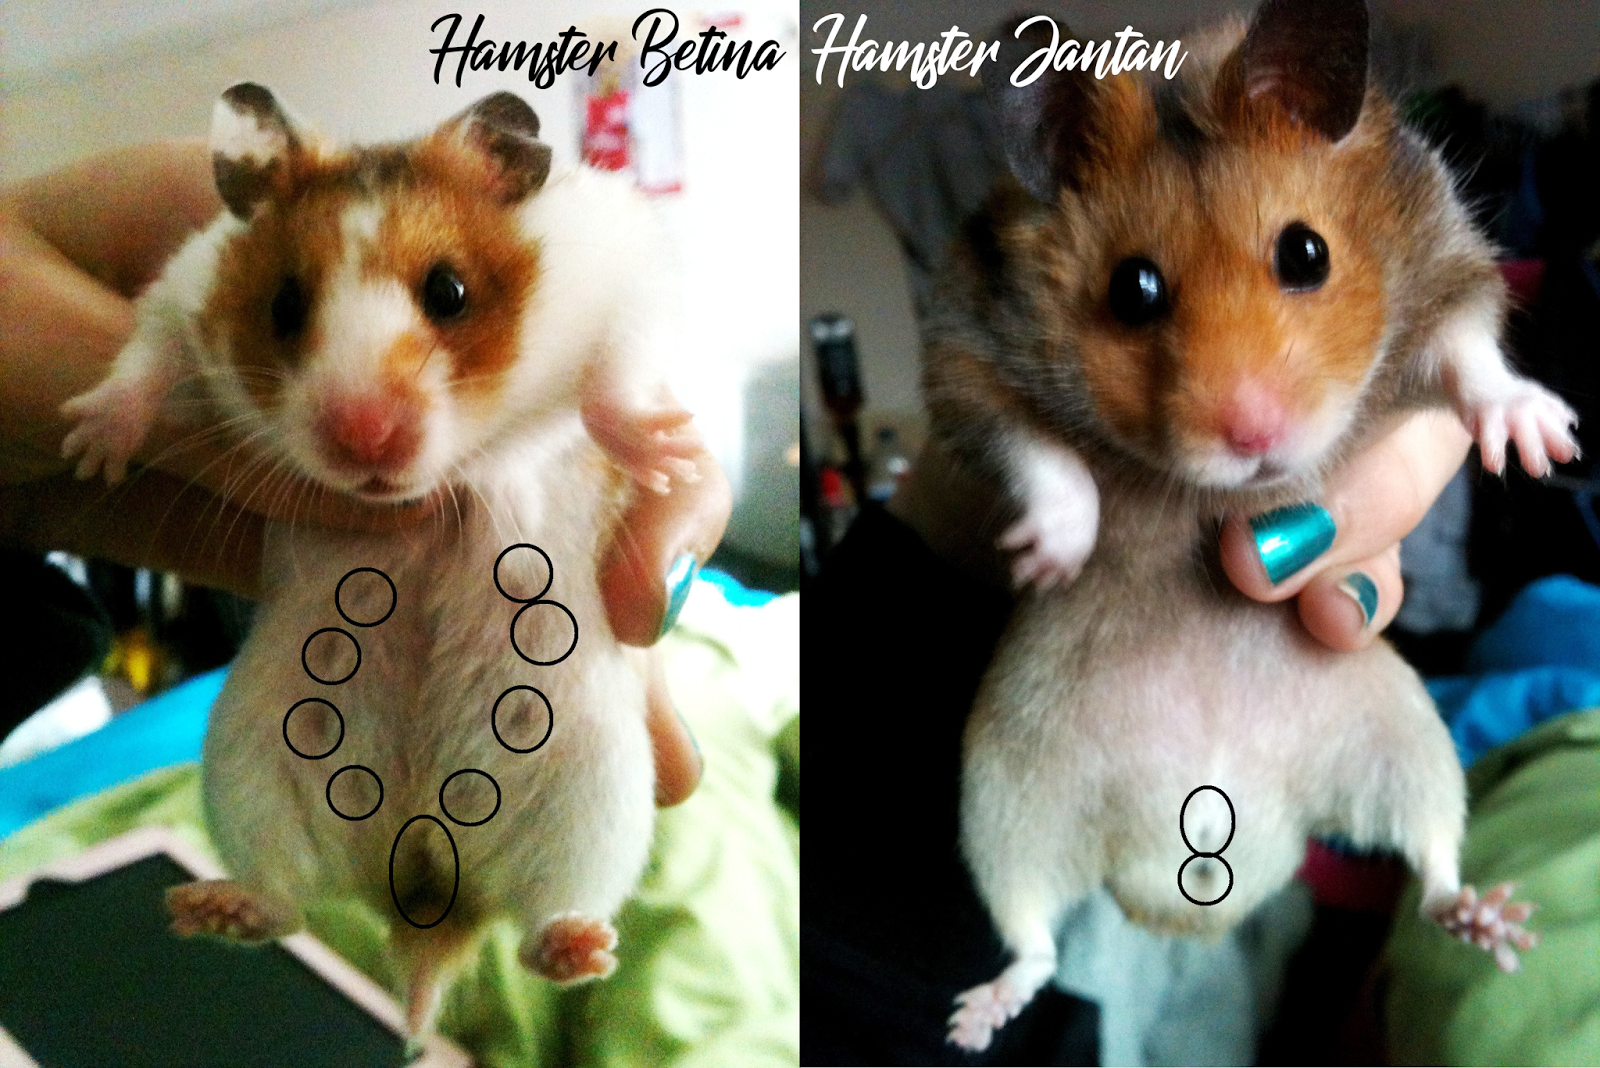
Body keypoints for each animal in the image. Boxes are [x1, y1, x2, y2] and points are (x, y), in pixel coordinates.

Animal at [60, 84, 700, 1036]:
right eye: (285, 306)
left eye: (449, 290)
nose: (363, 439)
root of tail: (424, 895)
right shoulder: (181, 290)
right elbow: (144, 363)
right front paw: (89, 449)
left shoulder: (626, 266)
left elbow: (616, 378)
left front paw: (666, 453)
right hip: (251, 763)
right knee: (288, 901)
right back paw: (213, 907)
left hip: (597, 788)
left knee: (540, 923)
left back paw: (578, 946)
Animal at [923, 0, 1578, 1051]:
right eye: (1133, 288)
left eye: (1306, 254)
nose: (1254, 437)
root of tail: (1185, 901)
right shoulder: (965, 353)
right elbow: (1040, 454)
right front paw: (1049, 556)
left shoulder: (1446, 267)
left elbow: (1471, 359)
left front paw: (1539, 439)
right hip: (1005, 801)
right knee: (1034, 940)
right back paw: (977, 1021)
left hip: (1406, 741)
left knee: (1433, 866)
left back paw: (1498, 925)